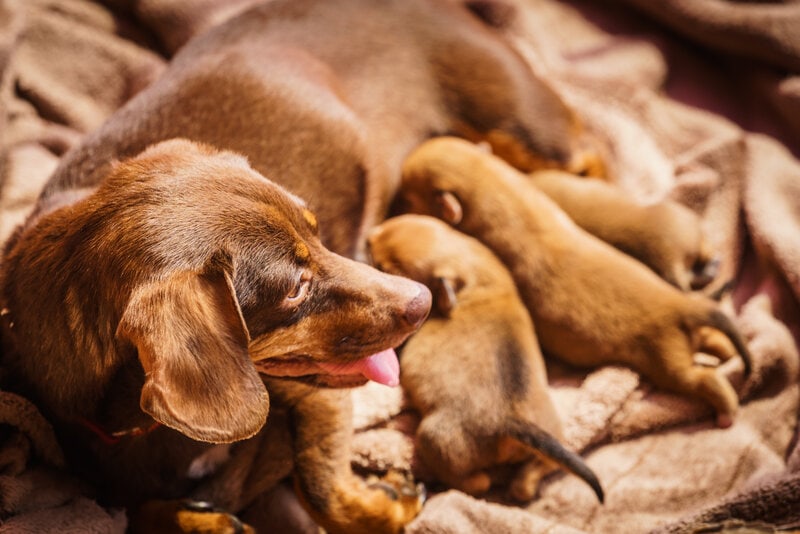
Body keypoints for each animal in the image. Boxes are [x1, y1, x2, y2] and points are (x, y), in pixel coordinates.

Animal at [0, 140, 432, 532]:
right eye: (295, 288)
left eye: (317, 233)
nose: (424, 302)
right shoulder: (113, 492)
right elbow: (140, 513)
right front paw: (206, 522)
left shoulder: (317, 400)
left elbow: (321, 484)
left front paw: (394, 501)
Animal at [366, 215, 604, 506]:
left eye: (386, 269)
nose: (369, 237)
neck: (476, 274)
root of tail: (510, 422)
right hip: (555, 436)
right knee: (536, 472)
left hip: (435, 439)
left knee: (477, 483)